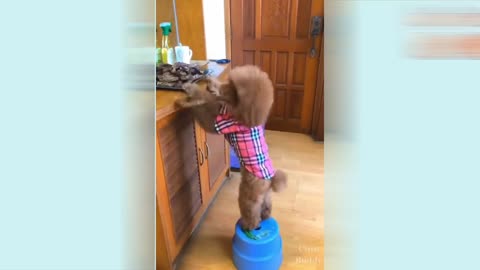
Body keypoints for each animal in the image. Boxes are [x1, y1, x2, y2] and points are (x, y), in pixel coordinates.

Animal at [176, 65, 288, 230]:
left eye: (227, 88)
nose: (208, 81)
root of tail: (270, 180)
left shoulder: (215, 121)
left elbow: (203, 102)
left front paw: (188, 92)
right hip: (265, 196)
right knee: (266, 209)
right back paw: (264, 219)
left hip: (247, 196)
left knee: (251, 214)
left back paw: (248, 226)